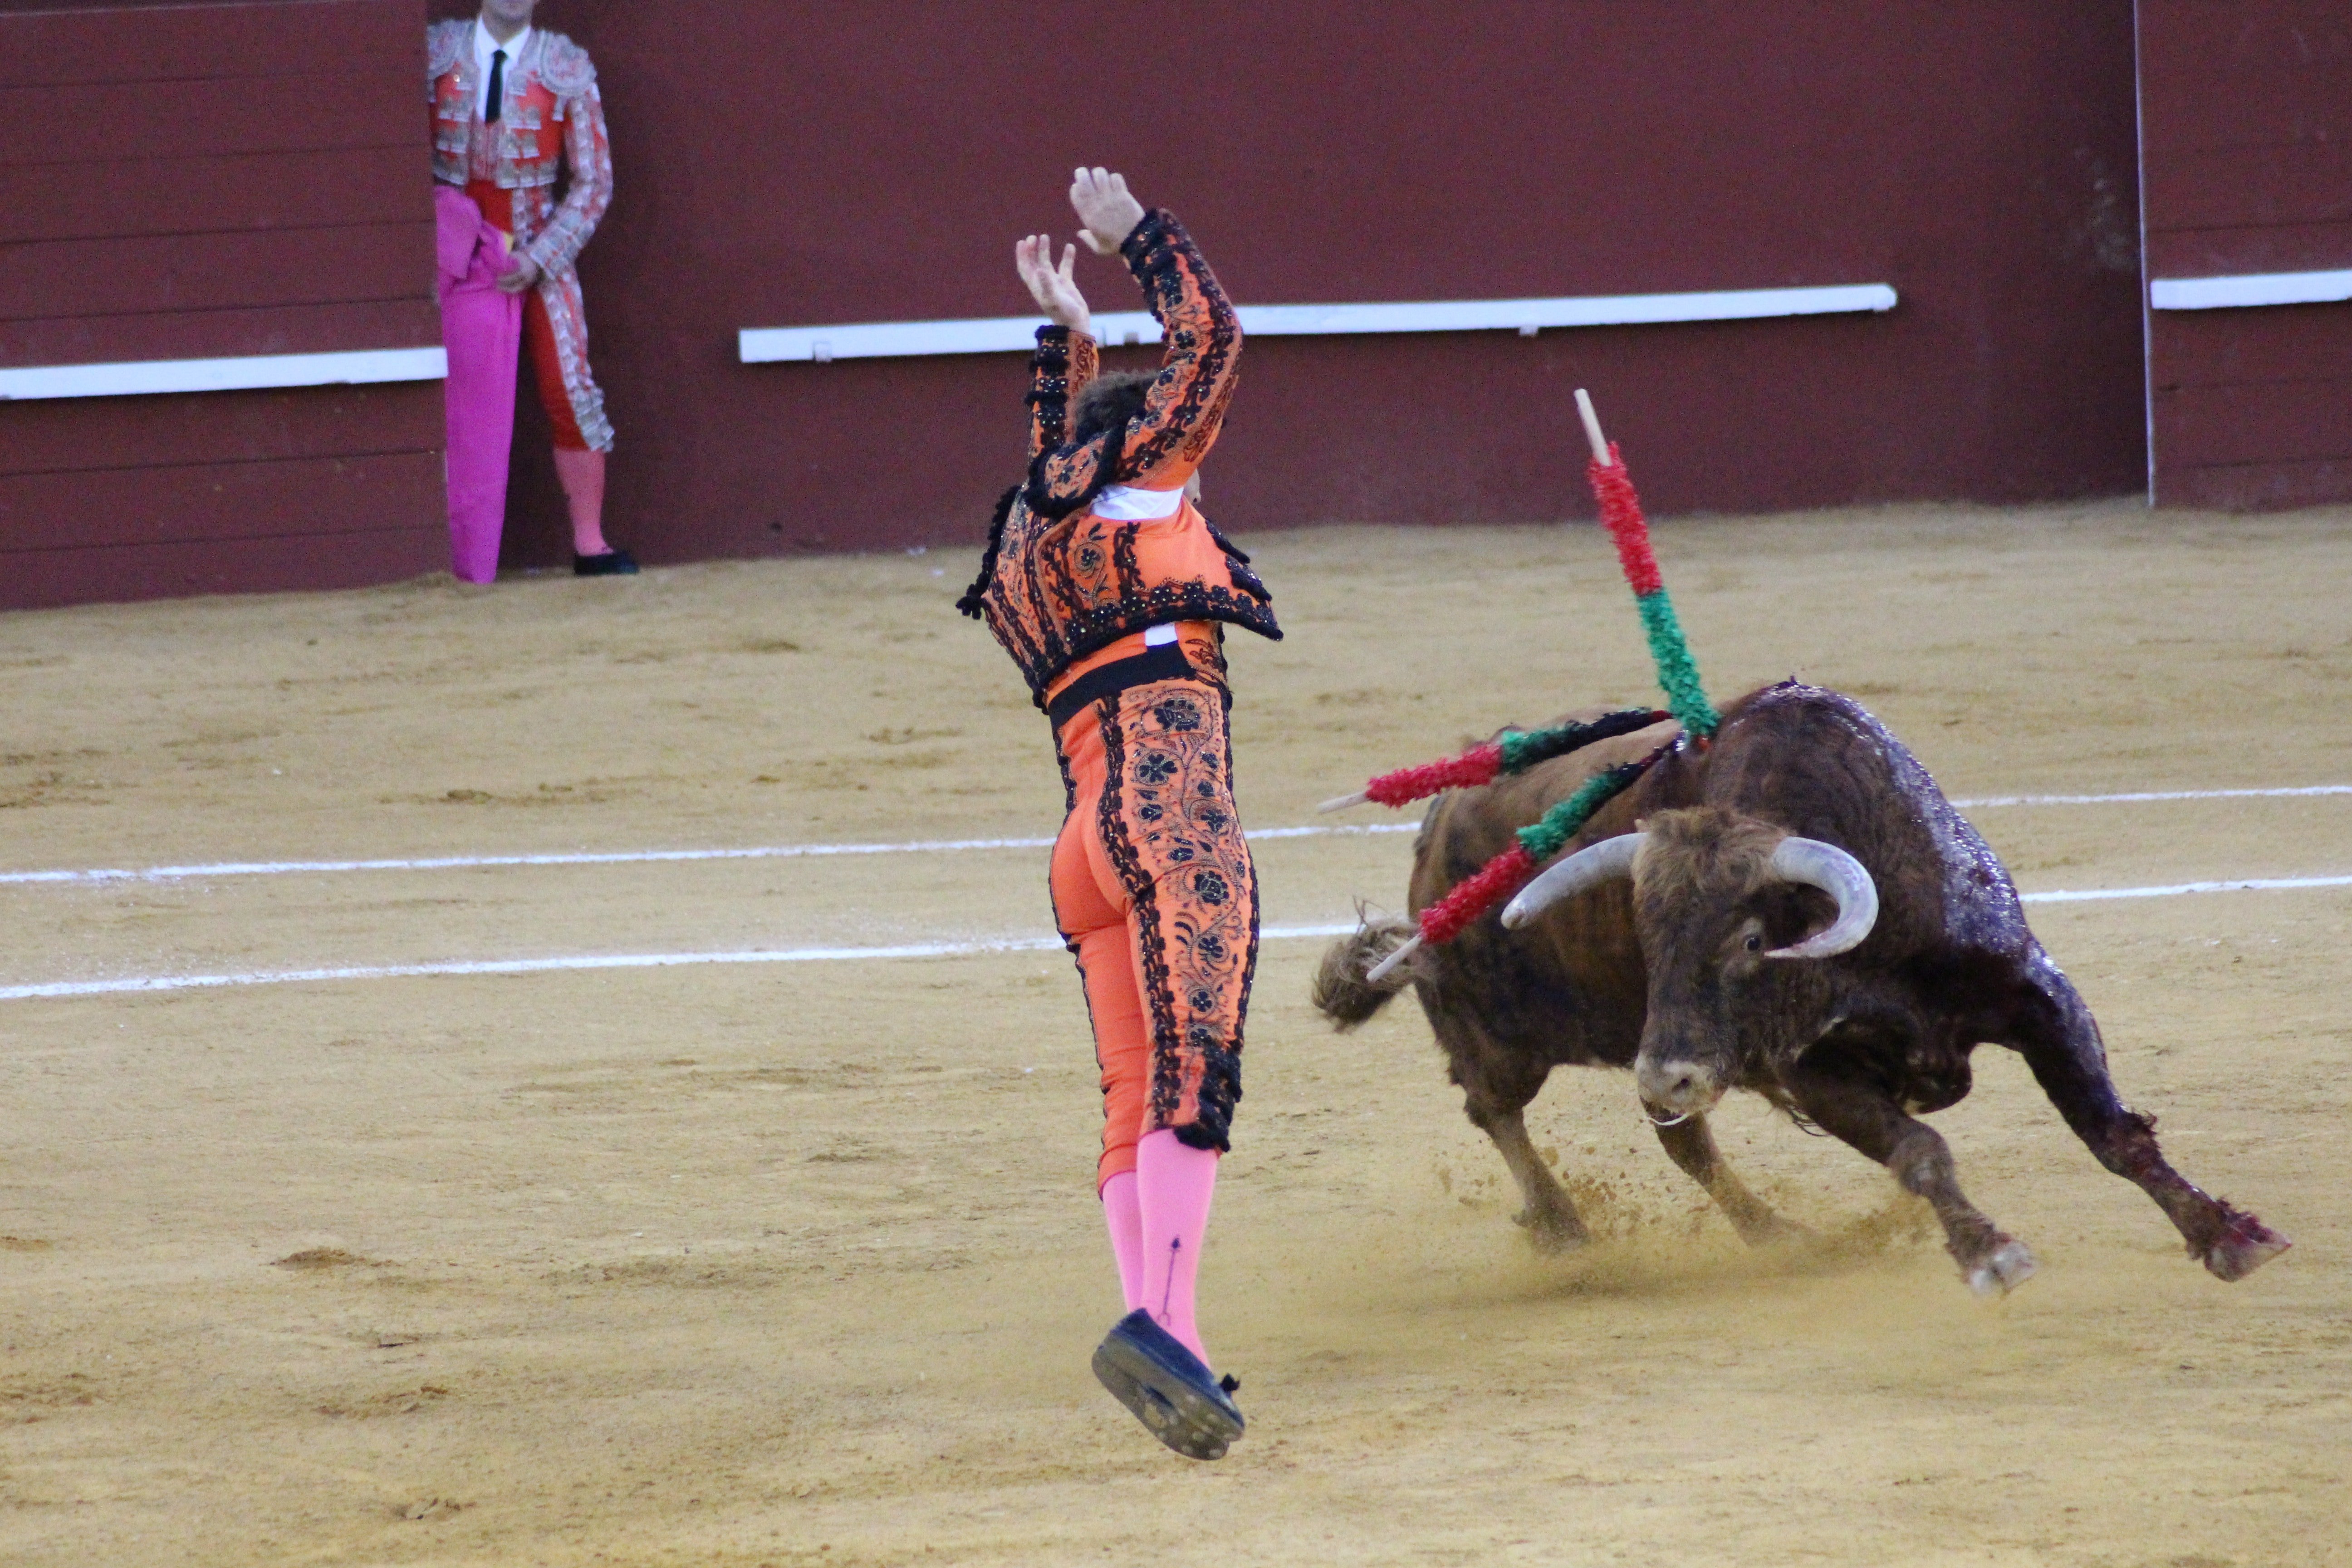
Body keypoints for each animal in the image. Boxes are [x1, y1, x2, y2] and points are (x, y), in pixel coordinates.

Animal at [1326, 681, 2295, 1298]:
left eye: (1751, 941)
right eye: (1644, 936)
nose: (1663, 1072)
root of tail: (1436, 820)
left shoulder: (2035, 996)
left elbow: (2112, 1133)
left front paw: (2225, 1236)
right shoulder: (1811, 1071)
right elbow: (1917, 1151)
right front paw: (1988, 1255)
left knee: (1683, 1145)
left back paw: (1776, 1234)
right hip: (1509, 1038)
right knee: (1494, 1110)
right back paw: (1566, 1229)